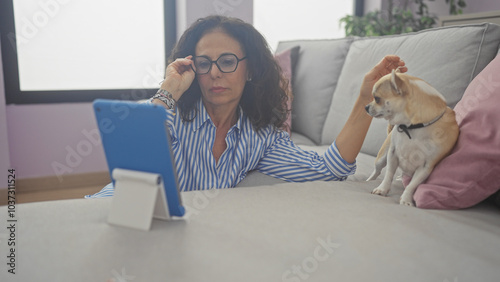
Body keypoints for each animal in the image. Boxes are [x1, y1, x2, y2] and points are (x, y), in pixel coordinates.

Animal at [366, 70, 458, 206]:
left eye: (377, 99)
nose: (366, 107)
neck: (413, 128)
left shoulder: (425, 167)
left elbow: (412, 185)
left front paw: (406, 200)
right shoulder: (392, 154)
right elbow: (388, 174)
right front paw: (382, 189)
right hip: (381, 158)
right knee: (377, 171)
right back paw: (369, 180)